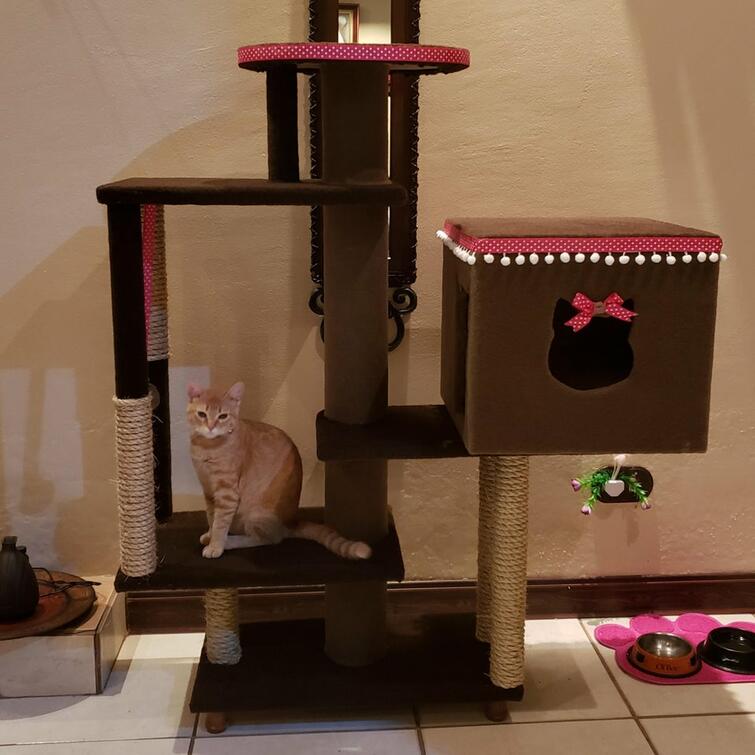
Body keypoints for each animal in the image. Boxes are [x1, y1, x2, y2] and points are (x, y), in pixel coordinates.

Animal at [187, 382, 372, 561]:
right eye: (202, 414)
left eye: (222, 416)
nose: (210, 427)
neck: (207, 447)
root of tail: (291, 522)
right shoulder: (209, 491)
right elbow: (211, 517)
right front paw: (210, 536)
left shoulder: (227, 494)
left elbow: (220, 523)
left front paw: (216, 545)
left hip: (256, 515)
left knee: (268, 539)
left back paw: (230, 542)